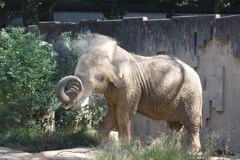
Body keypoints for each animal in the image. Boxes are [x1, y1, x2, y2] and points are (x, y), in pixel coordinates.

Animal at [55, 33, 202, 151]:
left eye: (90, 80)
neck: (110, 58)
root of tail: (196, 72)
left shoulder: (129, 85)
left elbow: (123, 113)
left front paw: (123, 148)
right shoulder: (112, 90)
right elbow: (113, 113)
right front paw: (104, 147)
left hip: (191, 96)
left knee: (191, 124)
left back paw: (192, 152)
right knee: (175, 126)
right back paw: (172, 150)